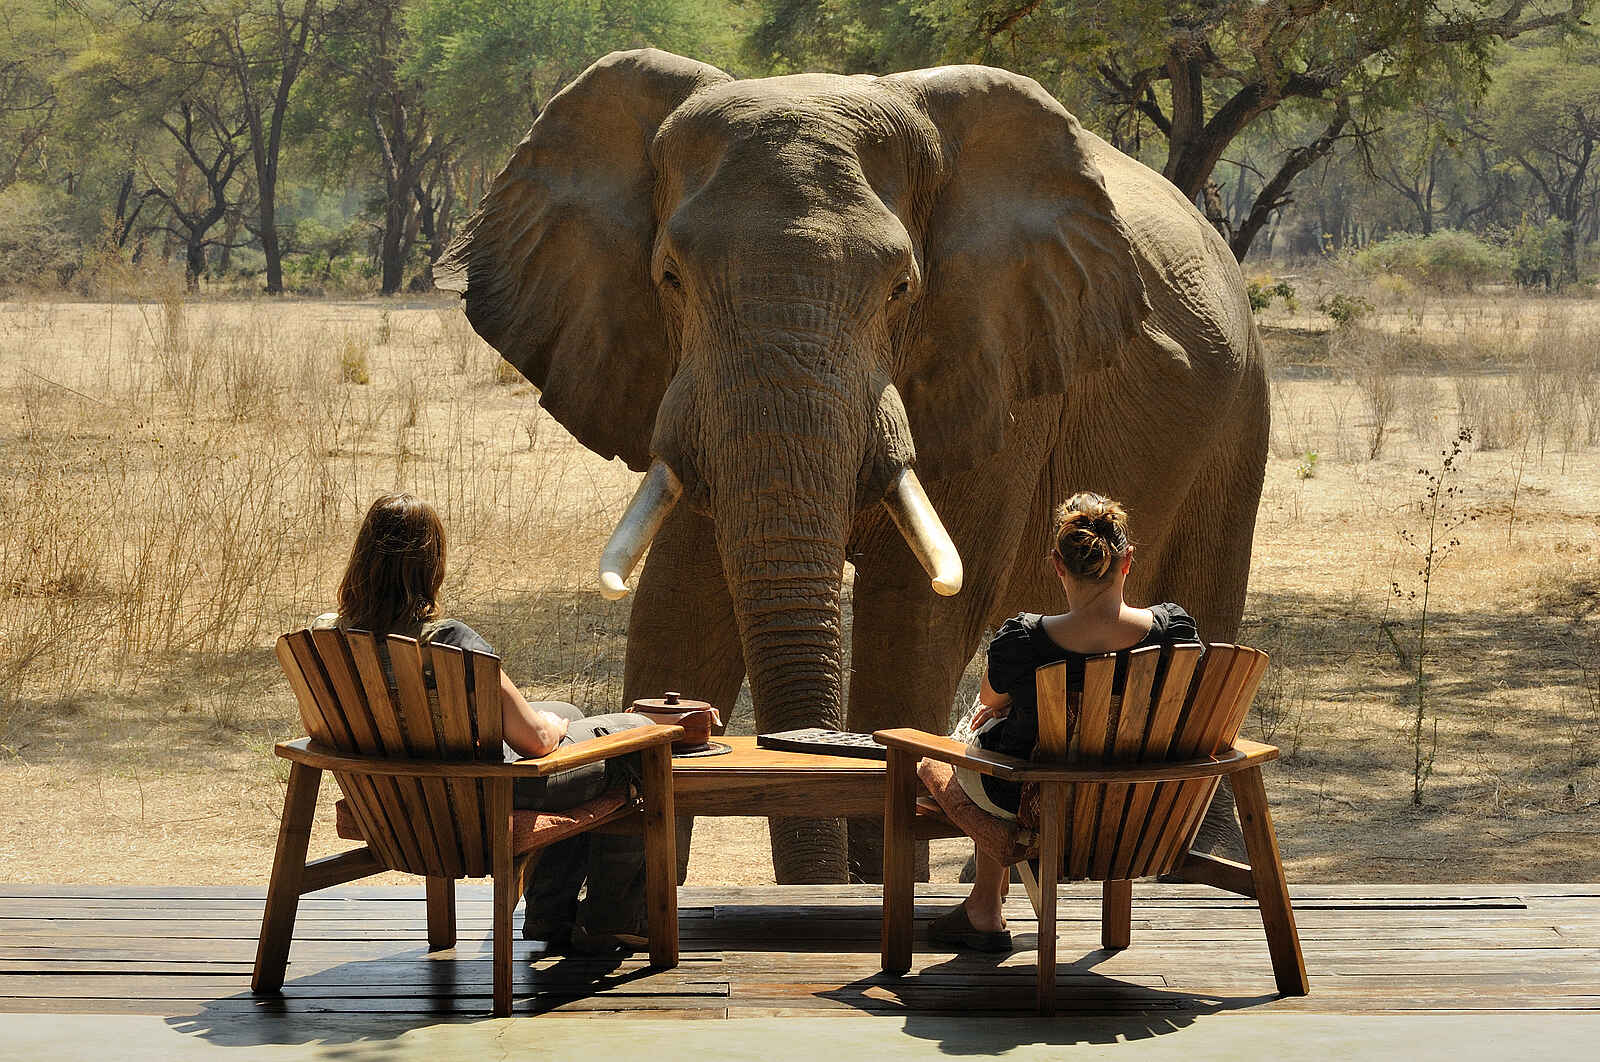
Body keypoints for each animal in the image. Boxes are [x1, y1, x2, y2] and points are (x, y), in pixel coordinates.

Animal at [436, 49, 1268, 884]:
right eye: (670, 277)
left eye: (901, 288)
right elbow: (683, 598)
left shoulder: (996, 356)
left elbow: (917, 613)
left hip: (1241, 413)